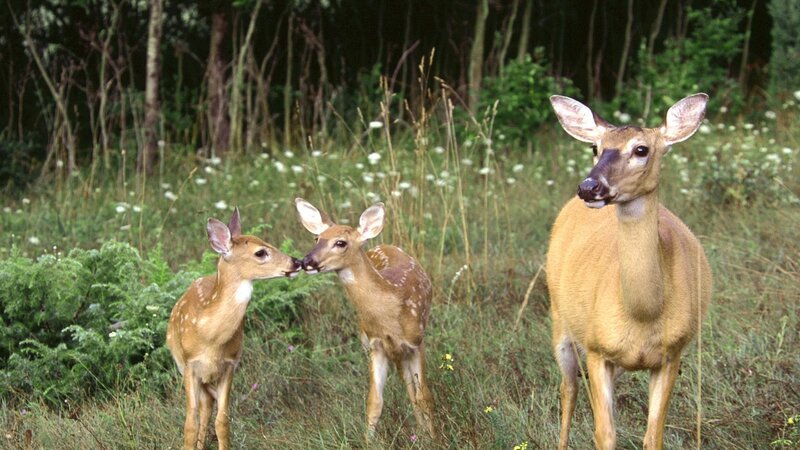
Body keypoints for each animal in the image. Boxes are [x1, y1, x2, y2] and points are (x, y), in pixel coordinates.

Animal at [166, 208, 301, 450]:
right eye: (260, 252)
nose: (296, 262)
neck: (209, 337)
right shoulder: (190, 366)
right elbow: (189, 424)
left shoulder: (229, 365)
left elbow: (222, 421)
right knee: (201, 411)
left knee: (208, 407)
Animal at [294, 198, 435, 440]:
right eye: (316, 238)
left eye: (340, 242)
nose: (306, 261)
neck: (389, 312)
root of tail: (384, 245)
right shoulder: (374, 345)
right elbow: (374, 402)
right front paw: (369, 441)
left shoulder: (416, 341)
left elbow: (424, 395)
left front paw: (436, 437)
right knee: (407, 384)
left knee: (414, 390)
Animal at [546, 94, 712, 450]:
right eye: (595, 147)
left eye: (641, 149)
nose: (589, 186)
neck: (642, 314)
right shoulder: (596, 349)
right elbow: (605, 434)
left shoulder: (672, 354)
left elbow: (653, 436)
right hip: (559, 319)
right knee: (568, 388)